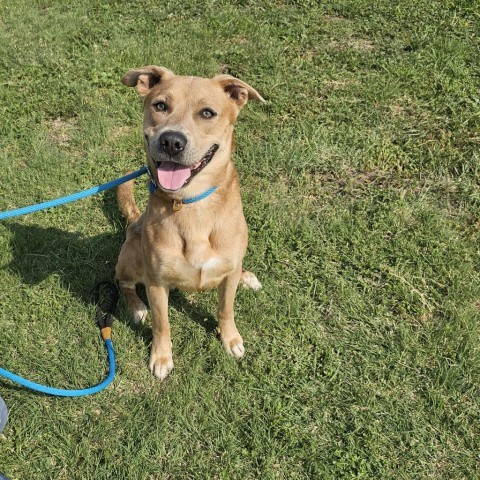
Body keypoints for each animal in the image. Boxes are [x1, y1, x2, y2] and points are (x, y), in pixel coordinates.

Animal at [115, 66, 264, 378]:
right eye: (160, 105)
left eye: (207, 113)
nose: (172, 141)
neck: (192, 205)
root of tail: (134, 221)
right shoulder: (156, 283)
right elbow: (162, 324)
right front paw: (161, 357)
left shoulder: (227, 278)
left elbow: (226, 309)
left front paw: (230, 339)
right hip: (133, 256)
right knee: (123, 281)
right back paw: (136, 307)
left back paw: (247, 276)